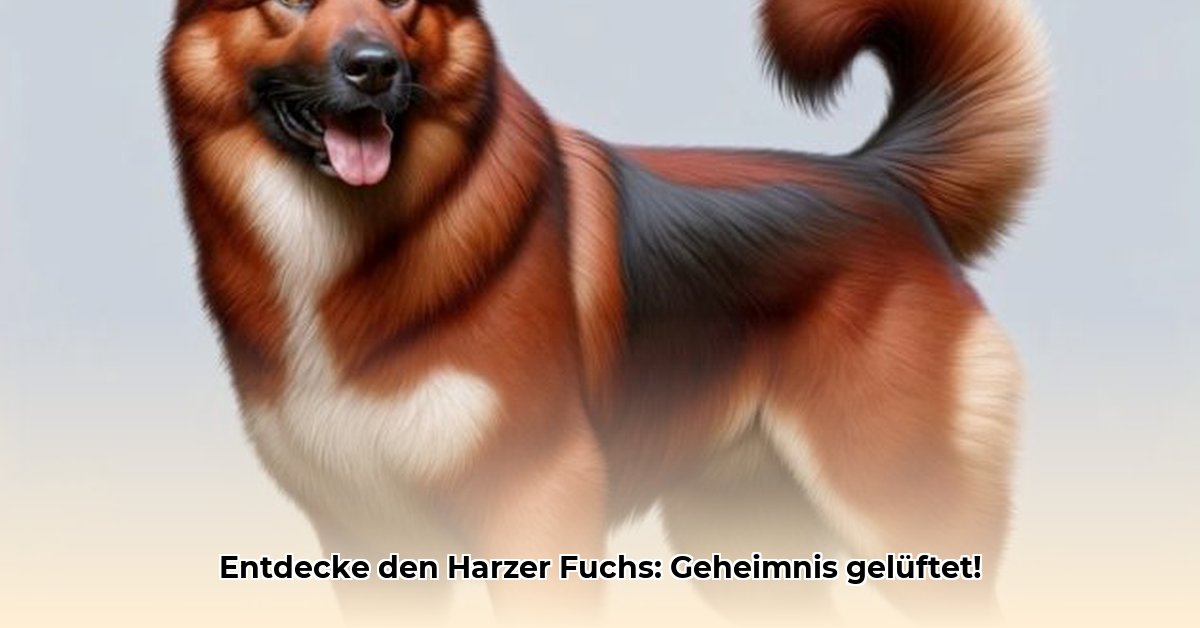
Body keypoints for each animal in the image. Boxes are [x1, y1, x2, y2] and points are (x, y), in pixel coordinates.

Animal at [162, 0, 1046, 623]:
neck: (346, 244)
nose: (375, 69)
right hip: (745, 540)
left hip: (904, 514)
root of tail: (884, 180)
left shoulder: (536, 507)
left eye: (405, 0)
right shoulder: (367, 545)